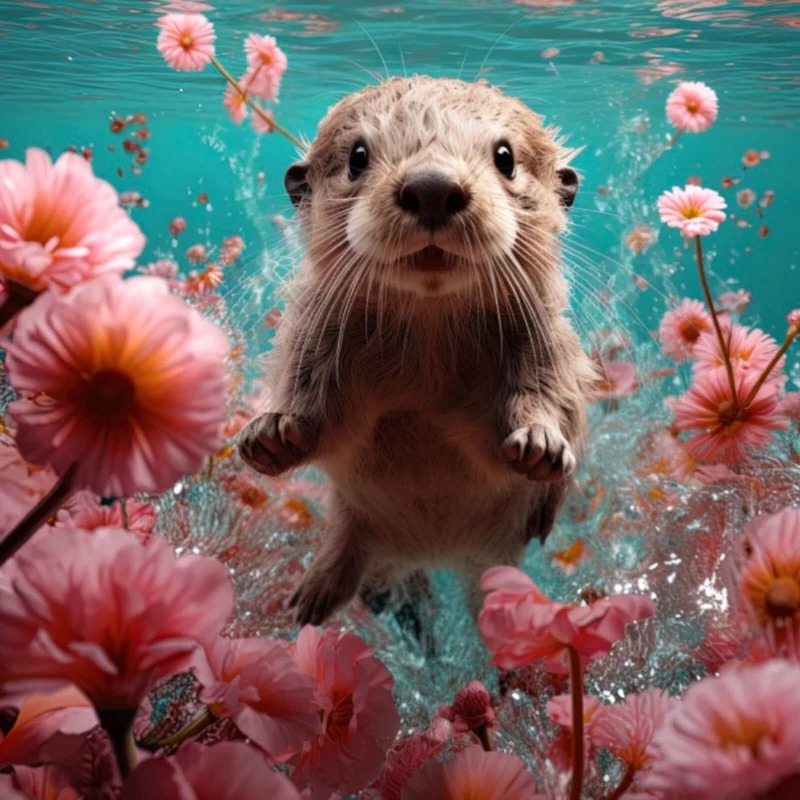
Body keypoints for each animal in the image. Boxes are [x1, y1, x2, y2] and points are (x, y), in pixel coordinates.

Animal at [238, 76, 594, 626]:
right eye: (358, 156)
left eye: (506, 157)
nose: (432, 187)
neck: (427, 357)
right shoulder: (313, 340)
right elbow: (319, 418)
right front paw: (273, 433)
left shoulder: (550, 346)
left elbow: (547, 404)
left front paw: (540, 441)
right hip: (352, 523)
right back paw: (309, 602)